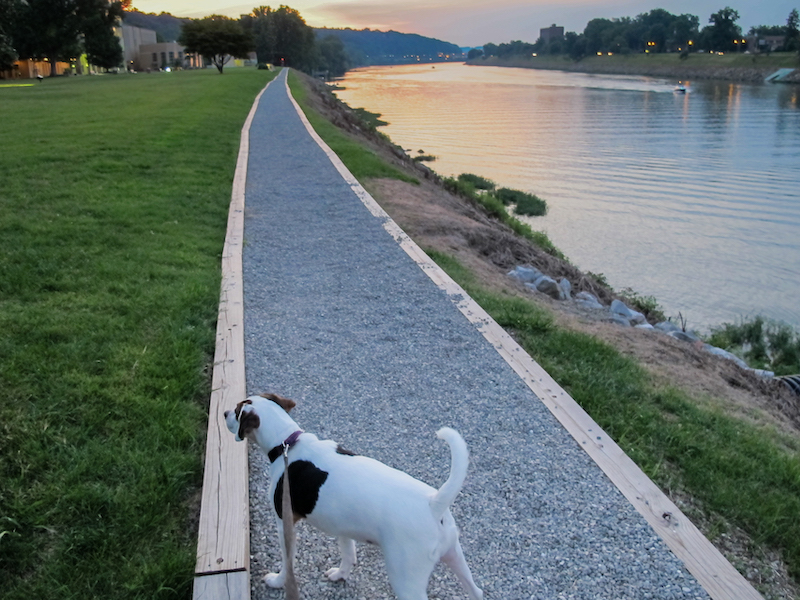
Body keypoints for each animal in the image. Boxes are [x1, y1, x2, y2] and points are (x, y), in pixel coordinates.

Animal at [223, 394, 482, 600]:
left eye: (236, 411)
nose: (224, 412)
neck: (288, 443)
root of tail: (434, 504)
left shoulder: (285, 525)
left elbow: (288, 564)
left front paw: (277, 581)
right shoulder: (343, 527)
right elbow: (348, 554)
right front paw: (341, 574)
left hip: (407, 579)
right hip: (455, 556)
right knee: (477, 591)